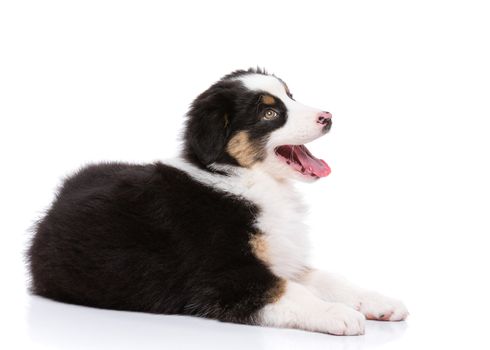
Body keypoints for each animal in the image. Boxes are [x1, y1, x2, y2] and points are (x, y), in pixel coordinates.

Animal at [28, 67, 408, 334]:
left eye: (291, 96)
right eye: (270, 114)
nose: (327, 116)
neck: (245, 177)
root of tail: (56, 200)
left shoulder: (283, 258)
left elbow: (330, 279)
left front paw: (379, 301)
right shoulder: (225, 276)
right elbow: (289, 291)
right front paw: (339, 314)